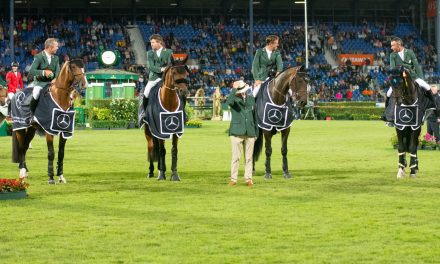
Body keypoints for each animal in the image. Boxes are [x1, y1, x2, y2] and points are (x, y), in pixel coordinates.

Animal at [144, 53, 190, 182]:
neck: (169, 102)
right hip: (148, 131)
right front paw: (161, 174)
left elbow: (174, 150)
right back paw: (151, 172)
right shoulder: (159, 130)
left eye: (186, 73)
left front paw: (174, 175)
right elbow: (162, 151)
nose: (183, 92)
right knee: (151, 147)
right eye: (174, 72)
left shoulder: (176, 131)